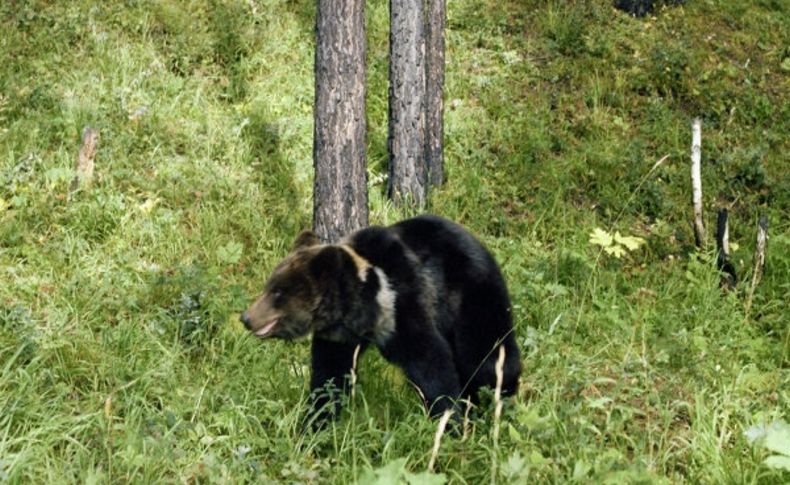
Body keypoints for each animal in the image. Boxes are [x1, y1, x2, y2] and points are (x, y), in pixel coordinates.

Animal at [241, 216, 524, 424]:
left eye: (278, 292)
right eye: (269, 285)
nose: (246, 317)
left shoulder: (404, 308)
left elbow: (432, 364)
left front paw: (449, 421)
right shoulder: (339, 337)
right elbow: (329, 377)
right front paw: (315, 424)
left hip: (473, 298)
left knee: (487, 358)